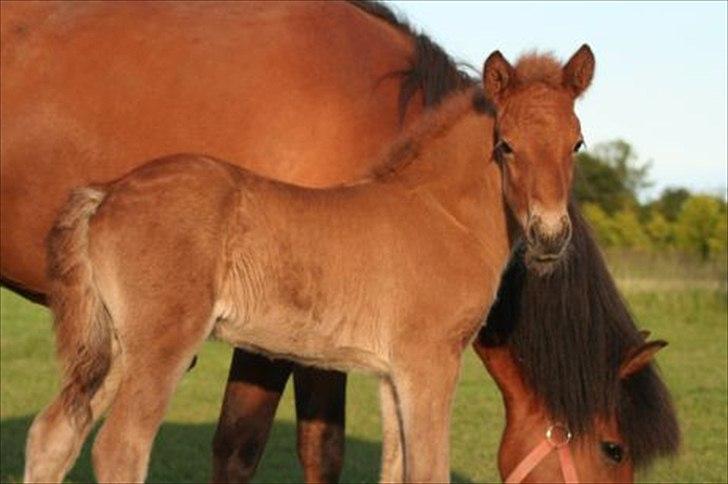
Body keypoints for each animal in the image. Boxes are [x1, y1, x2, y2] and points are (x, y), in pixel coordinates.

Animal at [25, 46, 596, 484]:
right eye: (506, 145)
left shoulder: (391, 374)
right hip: (161, 345)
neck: (440, 213)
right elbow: (429, 470)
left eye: (577, 143)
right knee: (119, 449)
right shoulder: (431, 361)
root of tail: (107, 194)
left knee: (52, 435)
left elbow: (398, 468)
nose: (550, 236)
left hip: (115, 345)